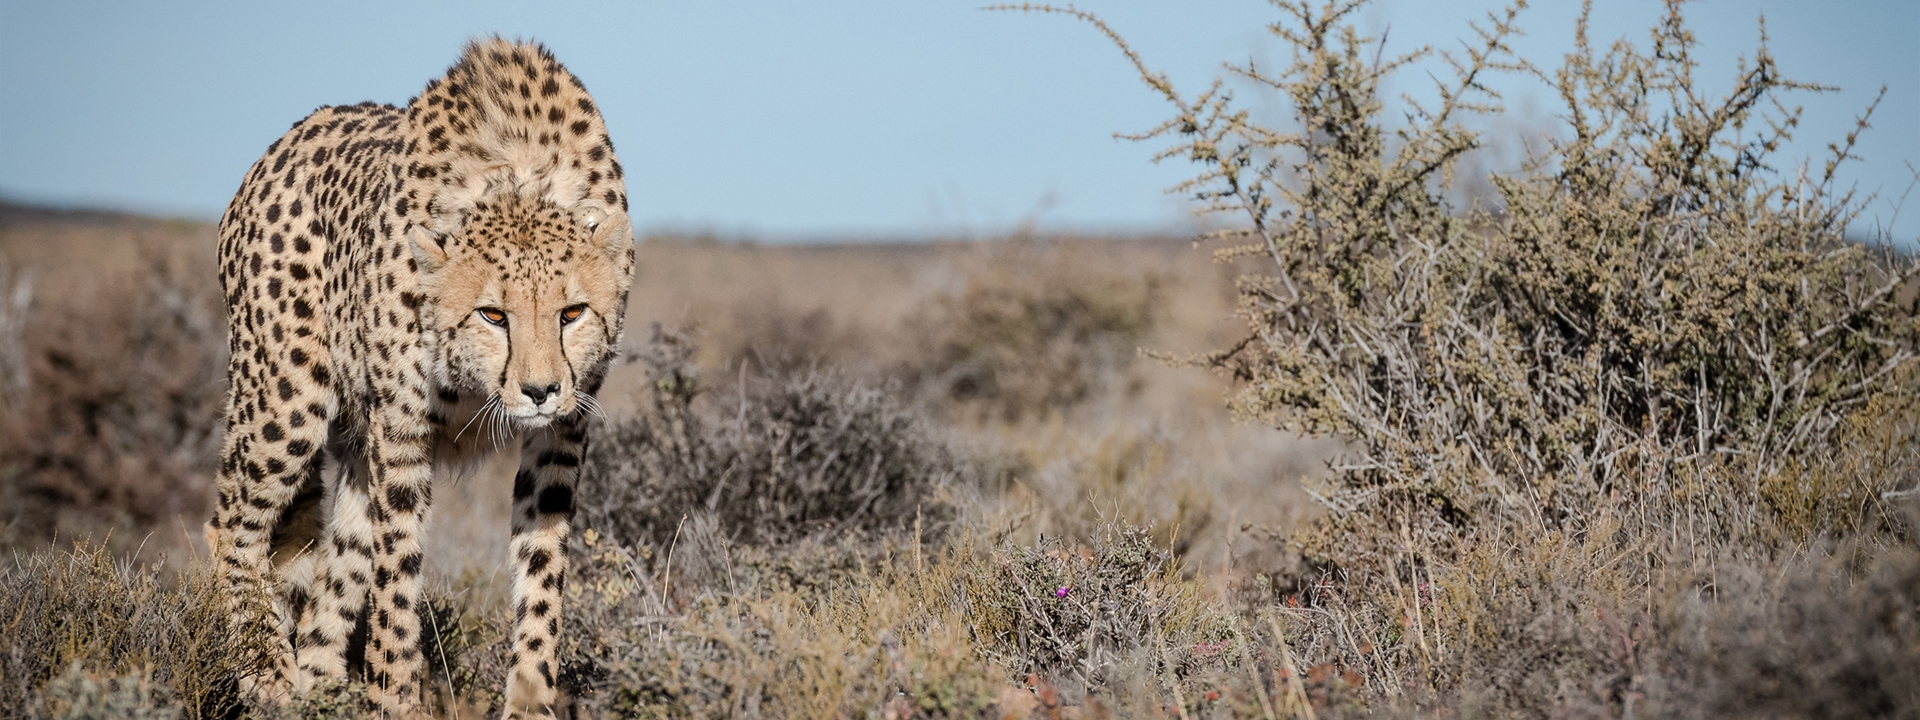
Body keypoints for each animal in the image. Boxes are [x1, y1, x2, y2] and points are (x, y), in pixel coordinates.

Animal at [211, 36, 633, 718]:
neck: (516, 179)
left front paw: (530, 697)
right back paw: (268, 673)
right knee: (230, 528)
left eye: (572, 313)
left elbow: (542, 571)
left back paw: (320, 686)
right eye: (493, 315)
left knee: (332, 582)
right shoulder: (402, 430)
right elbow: (398, 579)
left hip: (353, 447)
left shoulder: (562, 432)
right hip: (286, 403)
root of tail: (279, 147)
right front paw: (398, 697)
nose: (539, 390)